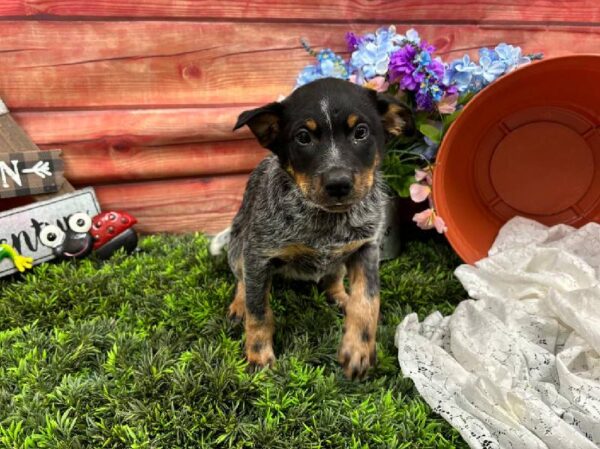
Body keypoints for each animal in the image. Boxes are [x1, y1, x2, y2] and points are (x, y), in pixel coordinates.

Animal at [213, 78, 414, 378]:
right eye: (303, 137)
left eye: (361, 132)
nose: (338, 183)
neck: (328, 222)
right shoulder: (259, 254)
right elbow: (258, 312)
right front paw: (258, 356)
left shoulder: (366, 248)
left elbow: (367, 302)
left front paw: (358, 349)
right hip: (238, 245)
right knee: (241, 280)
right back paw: (239, 305)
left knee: (333, 278)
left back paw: (340, 296)